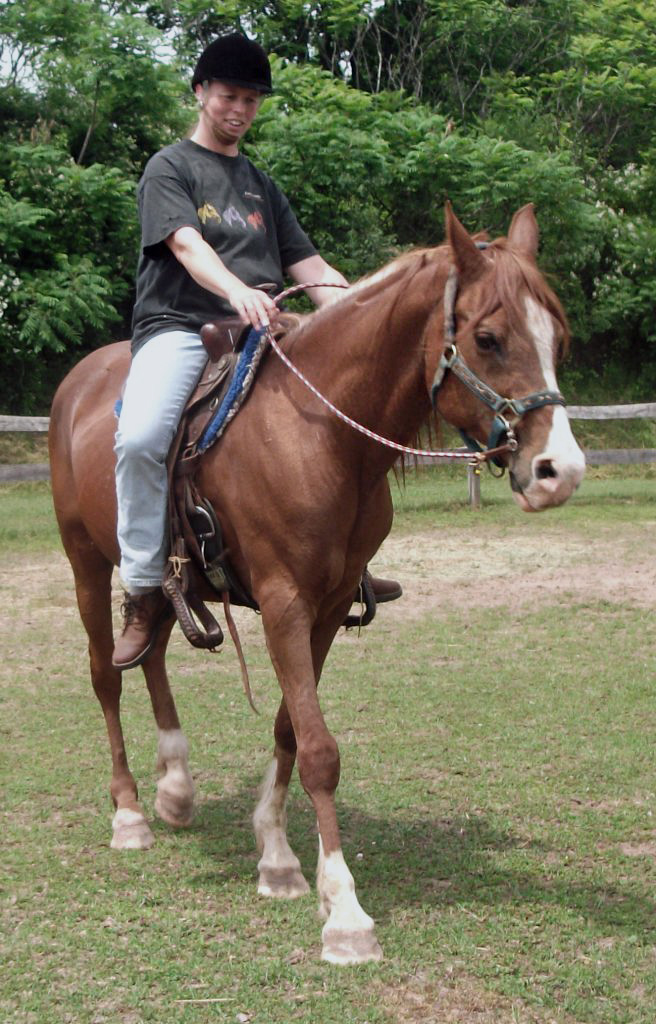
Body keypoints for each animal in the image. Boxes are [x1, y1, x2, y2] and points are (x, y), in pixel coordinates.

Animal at [48, 204, 585, 965]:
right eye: (487, 337)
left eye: (557, 337)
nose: (558, 471)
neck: (322, 433)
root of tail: (78, 382)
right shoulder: (284, 605)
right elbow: (321, 751)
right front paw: (346, 913)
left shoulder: (326, 610)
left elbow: (290, 730)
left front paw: (277, 858)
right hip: (85, 562)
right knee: (106, 675)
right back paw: (129, 813)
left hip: (165, 581)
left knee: (150, 648)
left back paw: (175, 786)